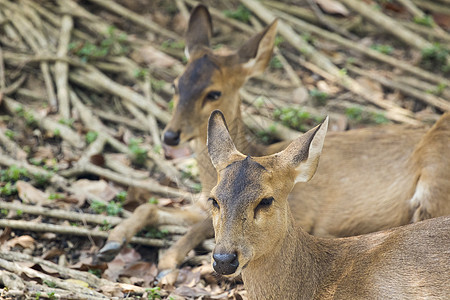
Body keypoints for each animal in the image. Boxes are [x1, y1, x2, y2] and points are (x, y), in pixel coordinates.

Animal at [98, 3, 450, 274]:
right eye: (175, 85)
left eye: (214, 93)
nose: (171, 135)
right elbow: (153, 207)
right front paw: (111, 241)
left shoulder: (300, 208)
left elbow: (200, 226)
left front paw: (168, 262)